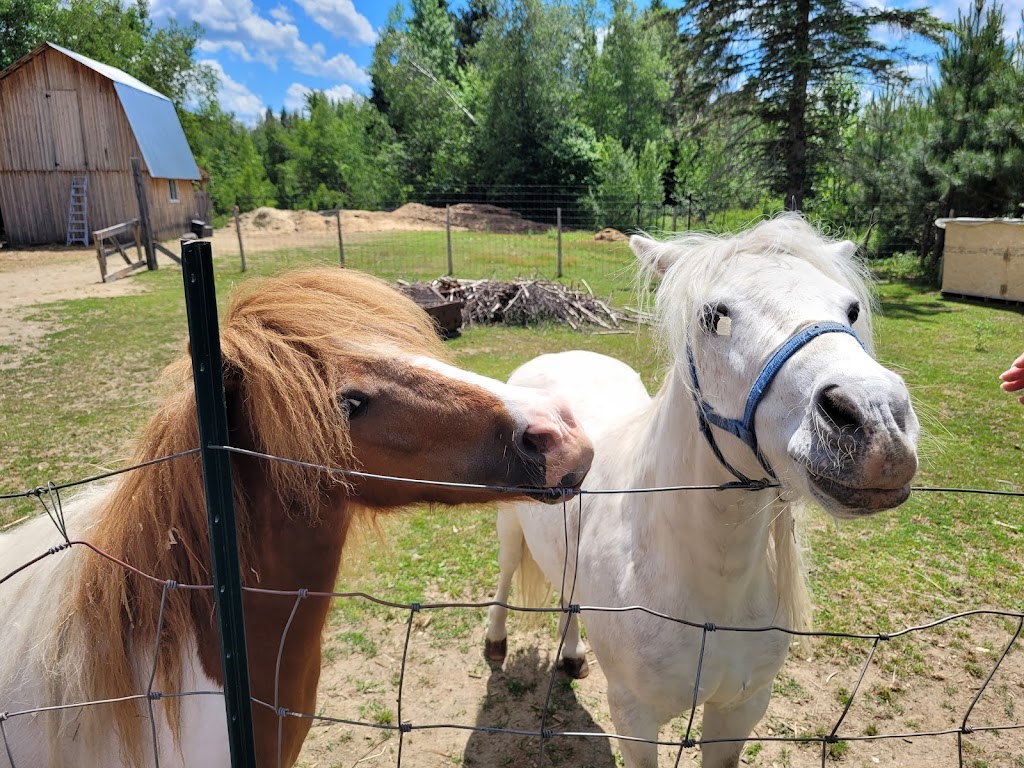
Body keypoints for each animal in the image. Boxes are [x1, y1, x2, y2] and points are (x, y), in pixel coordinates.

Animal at [483, 215, 925, 768]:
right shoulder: (634, 719)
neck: (713, 595)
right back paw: (495, 644)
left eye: (851, 309)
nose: (877, 419)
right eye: (713, 318)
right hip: (509, 527)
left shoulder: (739, 711)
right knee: (504, 576)